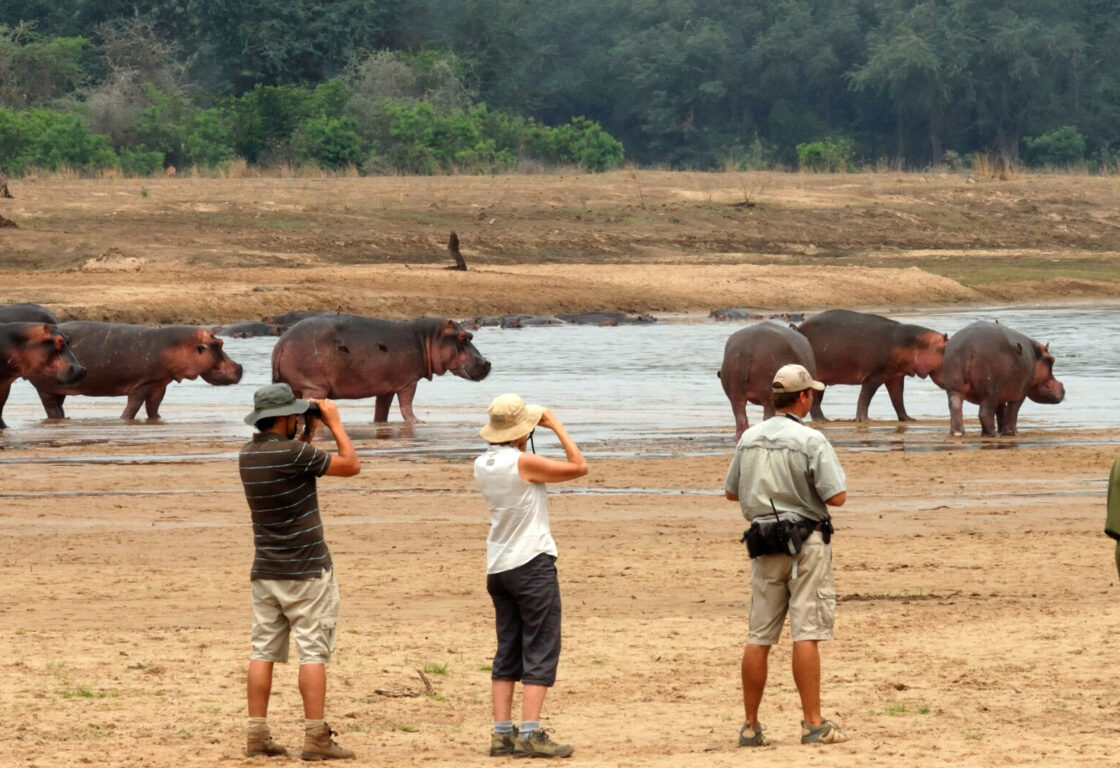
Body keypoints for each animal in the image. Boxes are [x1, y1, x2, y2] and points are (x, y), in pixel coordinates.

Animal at [27, 322, 244, 420]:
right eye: (219, 343)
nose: (241, 368)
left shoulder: (159, 384)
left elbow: (154, 406)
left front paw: (157, 419)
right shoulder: (143, 383)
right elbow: (134, 405)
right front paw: (124, 419)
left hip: (58, 388)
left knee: (57, 405)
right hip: (45, 387)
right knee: (50, 407)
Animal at [272, 315, 491, 422]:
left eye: (471, 335)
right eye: (463, 337)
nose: (487, 363)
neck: (427, 339)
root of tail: (281, 343)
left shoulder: (386, 387)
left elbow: (382, 410)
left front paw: (380, 423)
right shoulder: (408, 382)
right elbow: (406, 405)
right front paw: (418, 422)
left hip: (294, 387)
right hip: (314, 388)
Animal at [796, 309, 948, 422]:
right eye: (945, 348)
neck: (917, 344)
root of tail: (798, 329)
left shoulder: (895, 376)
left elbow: (898, 399)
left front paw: (908, 419)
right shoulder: (875, 376)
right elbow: (865, 397)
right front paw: (864, 420)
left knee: (816, 400)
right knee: (815, 401)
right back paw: (823, 420)